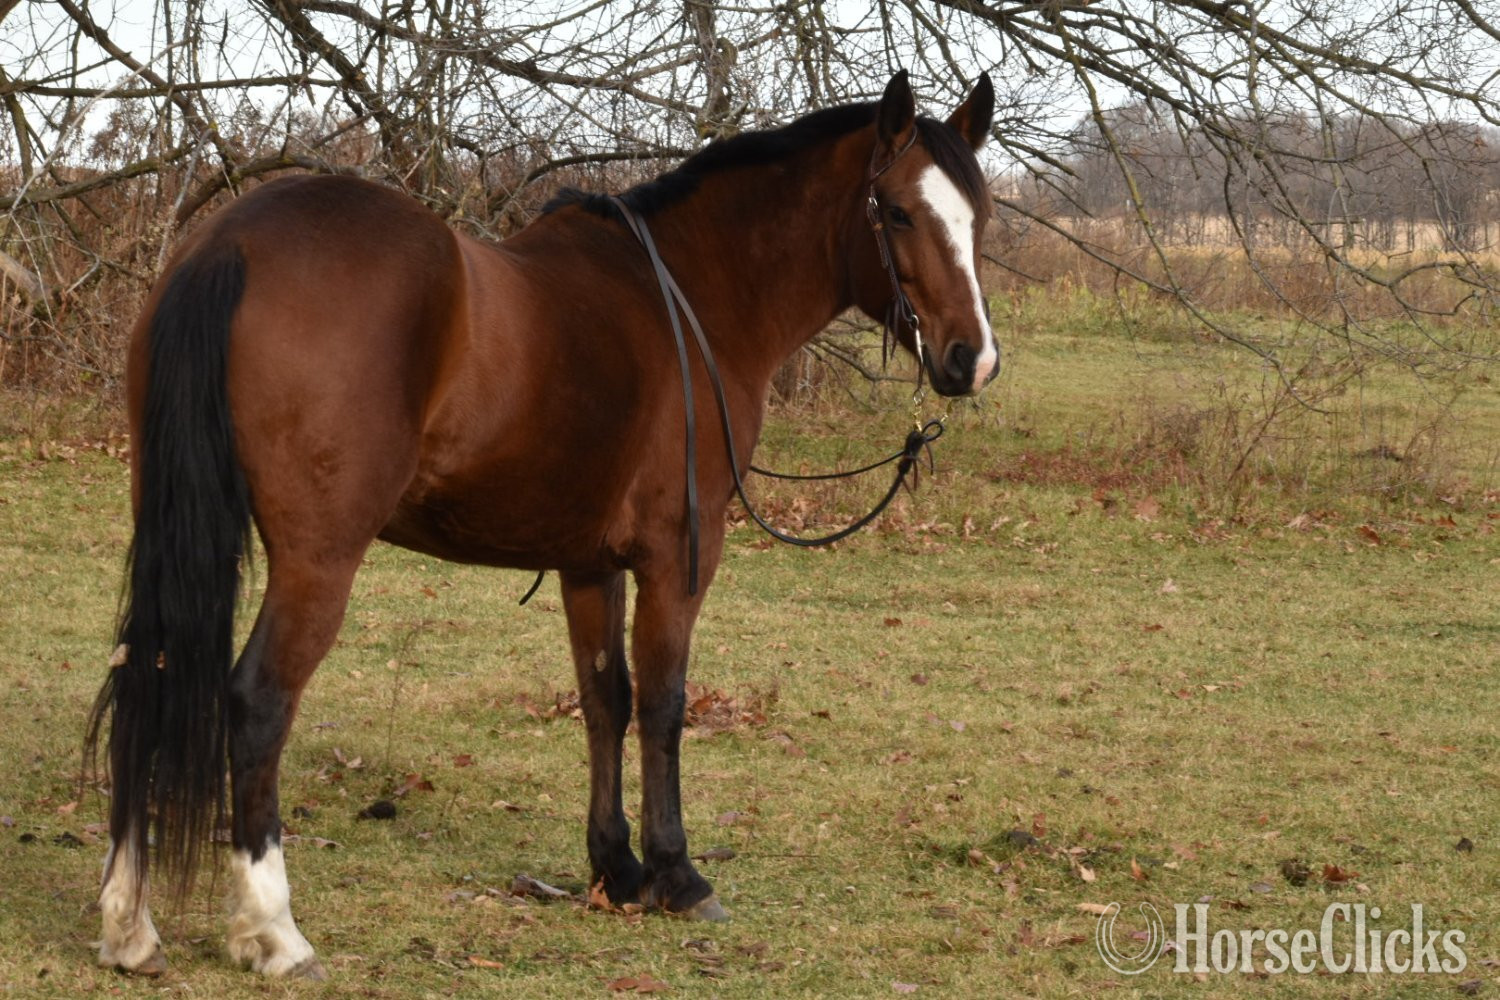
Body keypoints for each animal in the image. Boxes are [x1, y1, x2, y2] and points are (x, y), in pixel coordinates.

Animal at [86, 70, 997, 978]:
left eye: (978, 215)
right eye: (899, 212)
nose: (971, 359)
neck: (690, 297)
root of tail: (231, 245)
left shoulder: (588, 562)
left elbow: (604, 699)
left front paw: (617, 868)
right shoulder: (680, 554)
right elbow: (664, 702)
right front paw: (678, 874)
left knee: (148, 673)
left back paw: (130, 925)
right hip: (318, 561)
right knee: (257, 702)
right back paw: (272, 929)